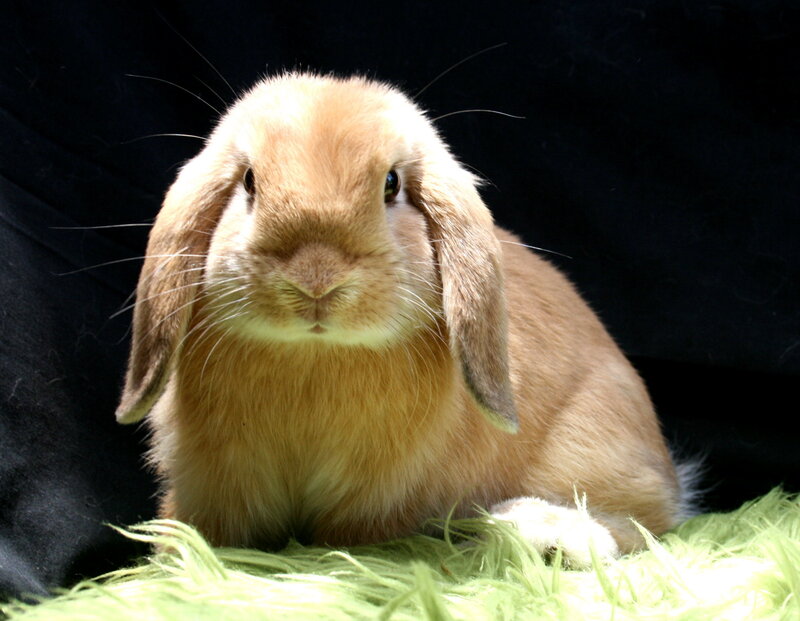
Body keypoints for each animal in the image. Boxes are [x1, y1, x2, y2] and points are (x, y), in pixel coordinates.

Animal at [116, 72, 692, 566]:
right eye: (249, 182)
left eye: (391, 184)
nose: (315, 279)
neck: (315, 356)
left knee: (640, 527)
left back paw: (545, 537)